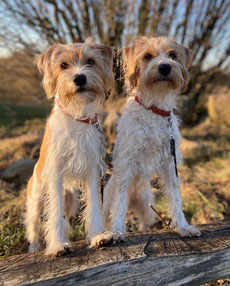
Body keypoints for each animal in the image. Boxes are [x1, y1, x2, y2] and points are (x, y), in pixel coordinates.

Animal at [24, 38, 113, 256]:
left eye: (90, 61)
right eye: (63, 65)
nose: (80, 78)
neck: (77, 116)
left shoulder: (92, 172)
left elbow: (94, 206)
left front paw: (98, 236)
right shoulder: (55, 172)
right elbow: (54, 212)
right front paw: (57, 245)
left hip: (71, 200)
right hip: (36, 199)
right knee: (34, 225)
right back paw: (34, 247)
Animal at [102, 36, 201, 244]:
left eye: (172, 54)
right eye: (148, 56)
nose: (164, 67)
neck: (154, 108)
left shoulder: (170, 164)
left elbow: (175, 198)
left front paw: (183, 227)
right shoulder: (127, 162)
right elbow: (120, 202)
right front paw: (117, 232)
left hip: (147, 209)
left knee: (144, 223)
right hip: (106, 206)